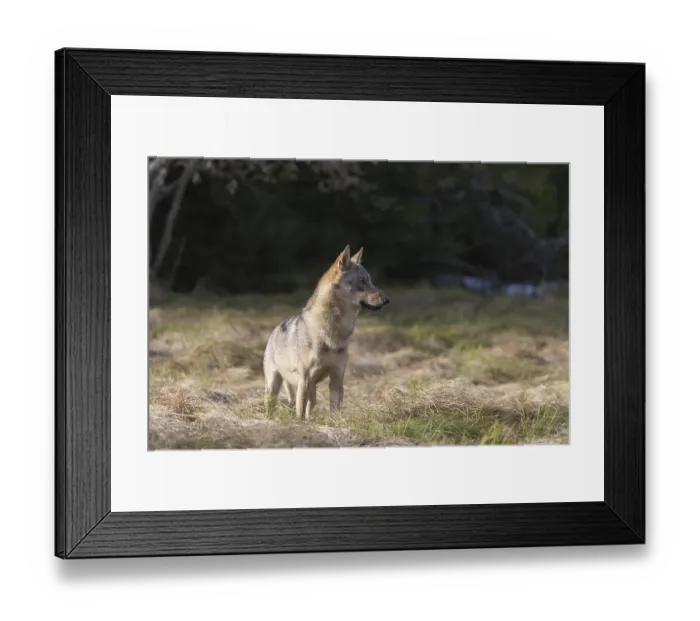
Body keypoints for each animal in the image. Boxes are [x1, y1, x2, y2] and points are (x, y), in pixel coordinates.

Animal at [263, 245, 390, 420]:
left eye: (369, 281)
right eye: (362, 281)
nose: (387, 300)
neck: (333, 331)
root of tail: (274, 331)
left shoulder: (337, 378)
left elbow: (334, 409)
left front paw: (335, 423)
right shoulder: (304, 378)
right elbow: (299, 412)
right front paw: (299, 424)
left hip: (312, 392)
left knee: (309, 407)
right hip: (274, 387)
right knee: (274, 406)